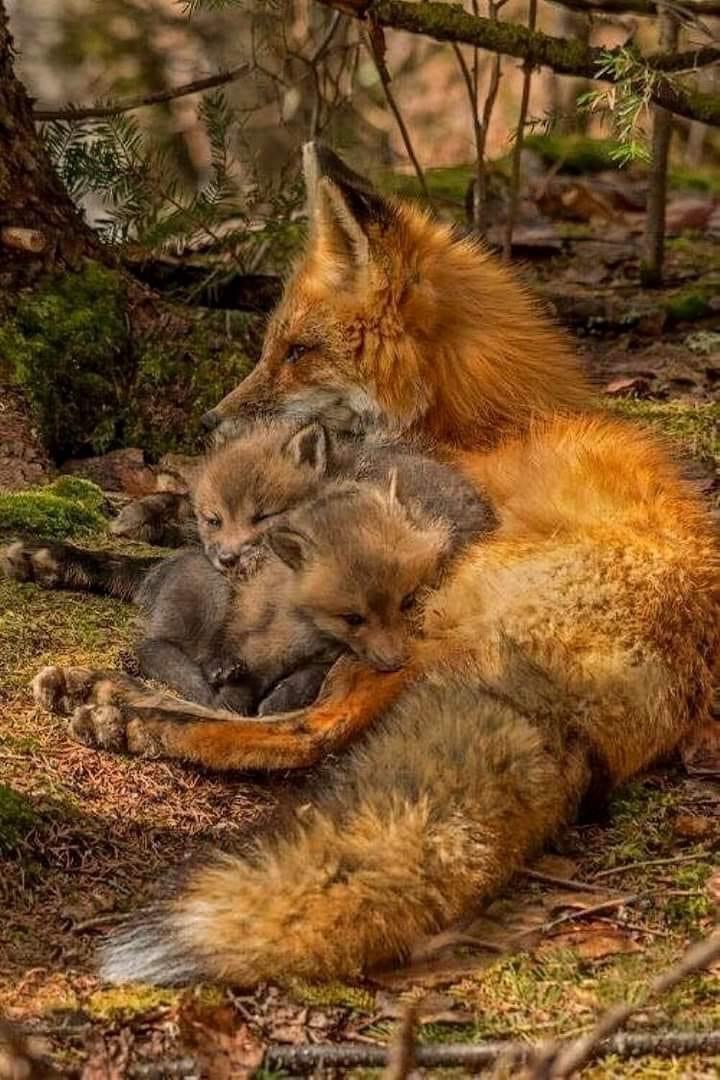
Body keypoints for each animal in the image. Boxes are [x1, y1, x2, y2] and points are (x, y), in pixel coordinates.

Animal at [29, 143, 719, 990]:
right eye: (271, 346)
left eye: (297, 352)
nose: (207, 420)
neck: (480, 420)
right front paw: (84, 540)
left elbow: (188, 562)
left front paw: (116, 542)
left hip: (400, 620)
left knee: (303, 733)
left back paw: (128, 711)